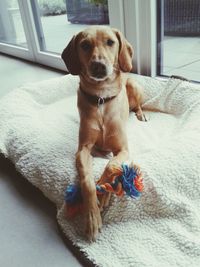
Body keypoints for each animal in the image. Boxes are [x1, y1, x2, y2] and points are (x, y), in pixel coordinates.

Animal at [61, 26, 145, 242]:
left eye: (110, 42)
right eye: (84, 45)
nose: (98, 65)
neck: (101, 98)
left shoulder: (123, 149)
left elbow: (111, 165)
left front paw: (104, 188)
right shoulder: (83, 149)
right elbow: (87, 181)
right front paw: (92, 216)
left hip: (134, 87)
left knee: (139, 105)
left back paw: (141, 114)